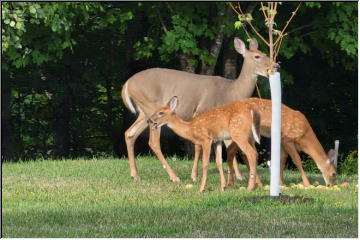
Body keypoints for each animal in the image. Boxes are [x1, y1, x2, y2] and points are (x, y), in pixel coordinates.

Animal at [121, 37, 278, 181]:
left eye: (264, 53)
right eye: (257, 56)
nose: (276, 65)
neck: (231, 92)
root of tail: (127, 84)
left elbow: (228, 143)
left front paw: (238, 176)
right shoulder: (201, 110)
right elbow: (199, 145)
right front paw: (194, 176)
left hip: (144, 112)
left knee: (130, 133)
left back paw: (135, 175)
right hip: (151, 107)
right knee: (153, 142)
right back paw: (174, 177)